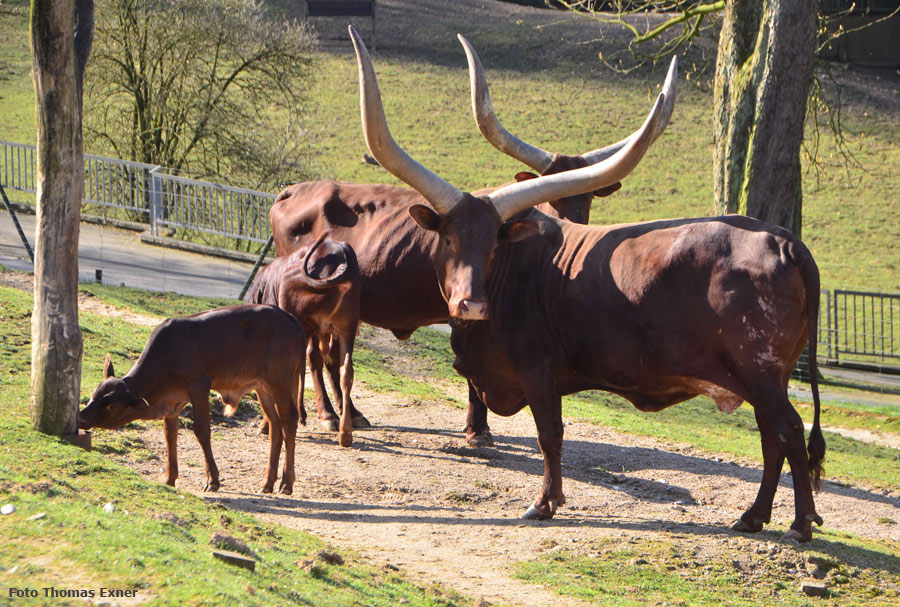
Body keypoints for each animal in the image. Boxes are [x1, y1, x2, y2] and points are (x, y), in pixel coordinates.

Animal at [76, 306, 306, 496]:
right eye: (94, 394)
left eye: (112, 406)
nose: (81, 418)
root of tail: (291, 319)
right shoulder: (171, 403)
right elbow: (170, 436)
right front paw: (169, 478)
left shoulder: (199, 386)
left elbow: (202, 431)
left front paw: (213, 480)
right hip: (263, 387)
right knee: (275, 425)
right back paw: (267, 483)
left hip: (280, 381)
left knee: (289, 420)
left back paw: (286, 483)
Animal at [268, 41, 676, 446]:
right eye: (555, 199)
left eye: (587, 198)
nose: (576, 230)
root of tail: (293, 190)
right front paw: (477, 430)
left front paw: (479, 427)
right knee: (316, 352)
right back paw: (328, 413)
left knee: (326, 352)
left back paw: (340, 413)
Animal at [348, 26, 828, 544]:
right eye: (449, 238)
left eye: (493, 243)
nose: (469, 304)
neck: (517, 269)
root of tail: (784, 240)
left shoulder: (537, 369)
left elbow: (550, 434)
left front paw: (545, 503)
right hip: (763, 376)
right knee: (772, 436)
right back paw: (753, 516)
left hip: (760, 372)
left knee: (788, 431)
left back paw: (800, 524)